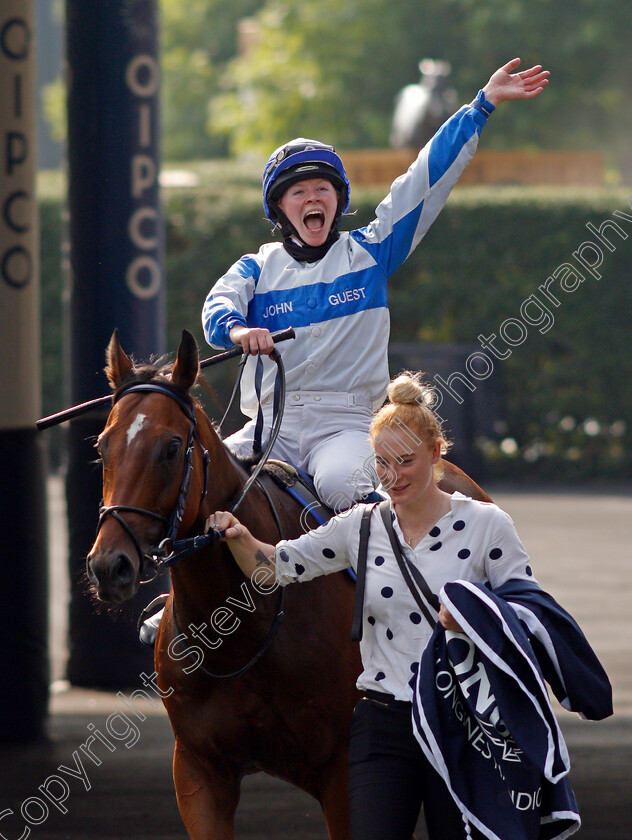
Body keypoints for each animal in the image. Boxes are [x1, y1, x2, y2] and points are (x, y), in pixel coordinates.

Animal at [85, 328, 488, 840]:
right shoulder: (199, 771)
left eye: (172, 447)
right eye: (103, 446)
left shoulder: (341, 771)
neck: (241, 629)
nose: (109, 566)